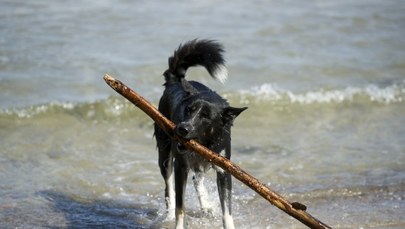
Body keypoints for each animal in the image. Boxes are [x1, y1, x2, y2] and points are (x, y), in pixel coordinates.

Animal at [153, 39, 245, 229]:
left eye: (206, 116)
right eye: (188, 110)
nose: (182, 128)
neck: (205, 143)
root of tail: (175, 80)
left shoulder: (223, 170)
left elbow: (227, 211)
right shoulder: (181, 166)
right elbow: (180, 207)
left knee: (197, 178)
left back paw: (206, 206)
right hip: (165, 153)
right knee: (169, 187)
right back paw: (169, 215)